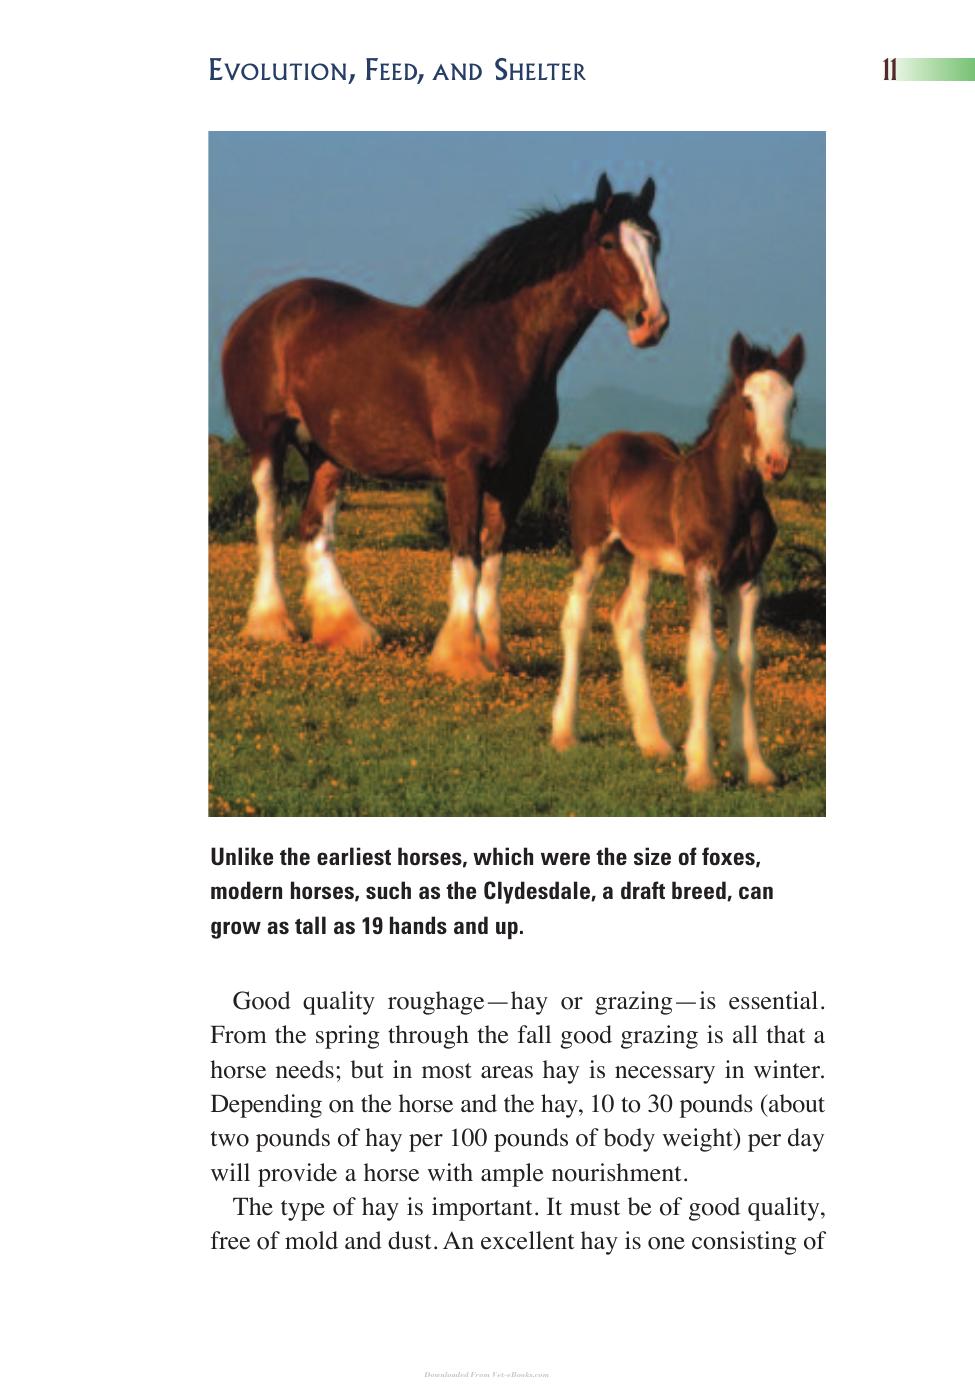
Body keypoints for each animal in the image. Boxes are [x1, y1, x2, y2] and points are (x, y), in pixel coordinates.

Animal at [221, 173, 669, 681]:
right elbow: (465, 553)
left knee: (315, 527)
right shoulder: (464, 469)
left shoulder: (517, 475)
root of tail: (257, 315)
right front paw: (461, 656)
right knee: (268, 521)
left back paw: (345, 630)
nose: (651, 321)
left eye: (654, 243)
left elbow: (494, 557)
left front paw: (494, 652)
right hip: (266, 441)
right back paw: (271, 625)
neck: (496, 348)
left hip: (327, 455)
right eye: (609, 243)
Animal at [551, 331, 806, 789]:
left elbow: (743, 660)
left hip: (642, 560)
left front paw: (756, 766)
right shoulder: (699, 570)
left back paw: (654, 741)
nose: (775, 462)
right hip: (591, 548)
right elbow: (705, 656)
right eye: (747, 401)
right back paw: (564, 732)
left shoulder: (748, 579)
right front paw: (701, 770)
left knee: (627, 620)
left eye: (792, 403)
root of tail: (596, 450)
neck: (729, 494)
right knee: (576, 620)